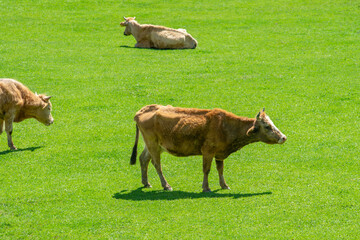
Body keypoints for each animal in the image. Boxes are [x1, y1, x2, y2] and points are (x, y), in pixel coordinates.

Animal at [130, 104, 286, 192]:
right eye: (267, 126)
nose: (283, 137)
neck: (226, 127)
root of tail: (142, 111)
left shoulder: (220, 153)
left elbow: (220, 169)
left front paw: (224, 185)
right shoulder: (207, 152)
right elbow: (207, 169)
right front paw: (206, 187)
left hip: (153, 145)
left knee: (143, 159)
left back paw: (146, 182)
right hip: (153, 144)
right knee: (157, 164)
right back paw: (166, 185)